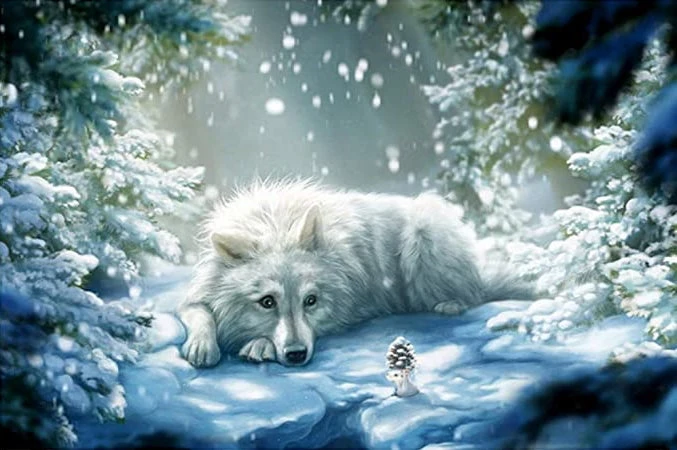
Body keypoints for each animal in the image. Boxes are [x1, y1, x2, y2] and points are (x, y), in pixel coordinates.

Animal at [178, 179, 531, 368]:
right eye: (267, 302)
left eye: (311, 301)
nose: (296, 355)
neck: (274, 223)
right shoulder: (196, 295)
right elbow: (200, 314)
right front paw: (202, 346)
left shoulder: (347, 312)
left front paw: (259, 345)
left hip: (424, 229)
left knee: (469, 295)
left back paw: (448, 304)